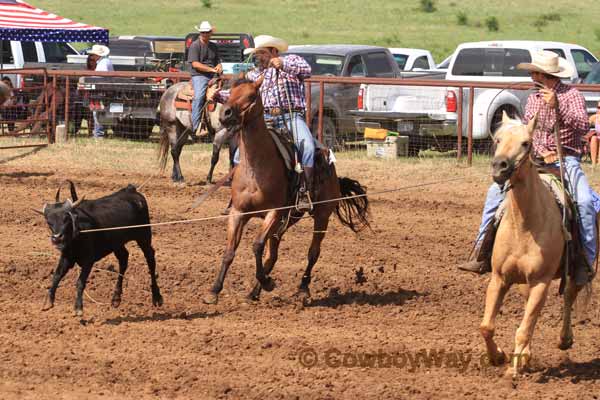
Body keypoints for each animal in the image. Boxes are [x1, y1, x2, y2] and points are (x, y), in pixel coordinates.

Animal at [204, 77, 368, 304]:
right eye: (230, 93)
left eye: (251, 95)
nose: (225, 114)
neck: (256, 167)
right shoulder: (238, 213)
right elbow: (230, 252)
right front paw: (214, 291)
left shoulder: (274, 212)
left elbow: (256, 245)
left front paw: (268, 283)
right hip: (287, 220)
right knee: (272, 256)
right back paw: (255, 291)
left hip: (321, 215)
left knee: (313, 253)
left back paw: (302, 289)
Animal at [480, 112, 592, 378]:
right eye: (497, 140)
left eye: (526, 143)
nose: (499, 167)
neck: (524, 223)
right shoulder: (499, 278)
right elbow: (487, 326)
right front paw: (498, 357)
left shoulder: (542, 281)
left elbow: (524, 328)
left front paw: (513, 369)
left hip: (571, 273)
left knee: (569, 295)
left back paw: (564, 339)